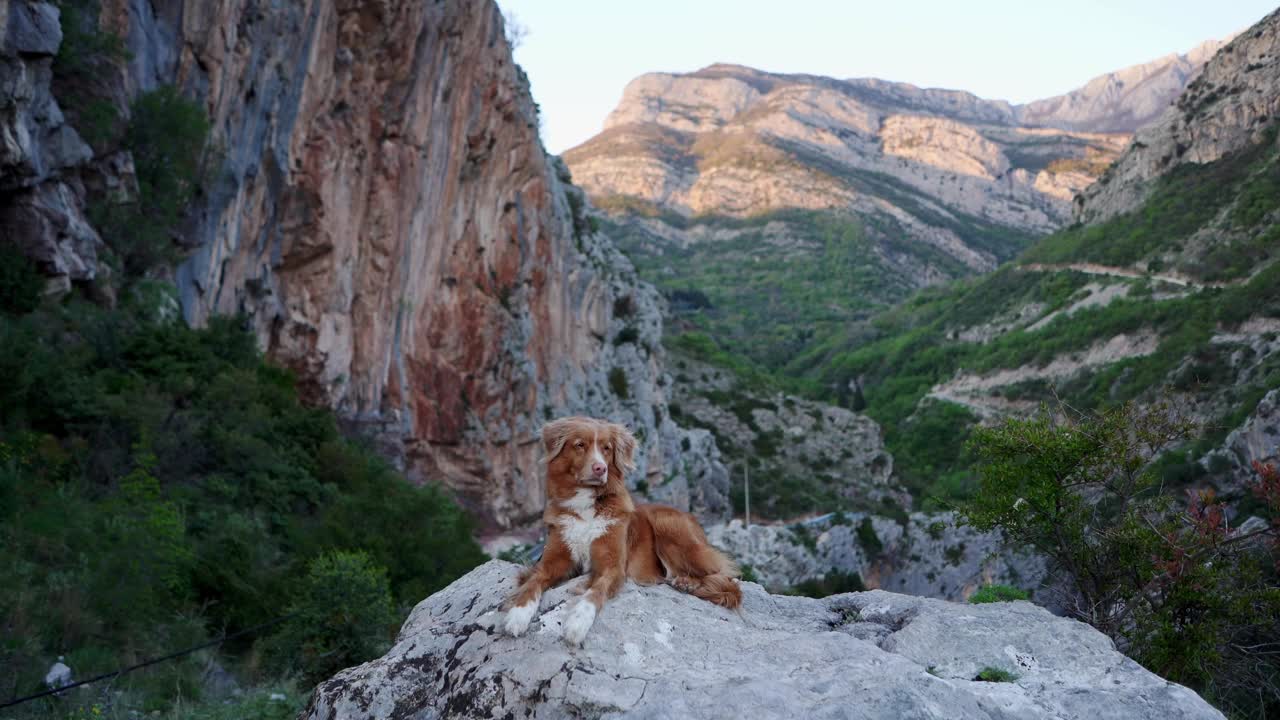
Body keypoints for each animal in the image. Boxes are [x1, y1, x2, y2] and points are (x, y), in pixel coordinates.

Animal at [499, 415, 742, 645]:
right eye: (580, 445)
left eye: (606, 448)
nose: (600, 468)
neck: (586, 506)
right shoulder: (552, 560)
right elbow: (532, 583)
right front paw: (518, 614)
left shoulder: (613, 566)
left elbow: (595, 592)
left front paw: (577, 623)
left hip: (668, 525)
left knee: (727, 581)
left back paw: (689, 583)